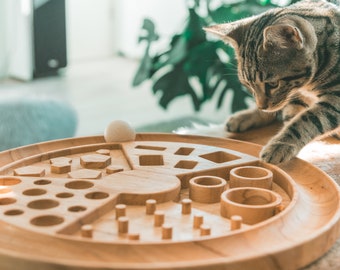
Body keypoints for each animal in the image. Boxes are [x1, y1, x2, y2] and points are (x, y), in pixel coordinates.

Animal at [205, 0, 340, 165]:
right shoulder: (295, 98)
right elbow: (290, 116)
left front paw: (280, 144)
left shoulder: (336, 99)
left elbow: (307, 120)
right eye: (248, 85)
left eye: (273, 84)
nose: (261, 106)